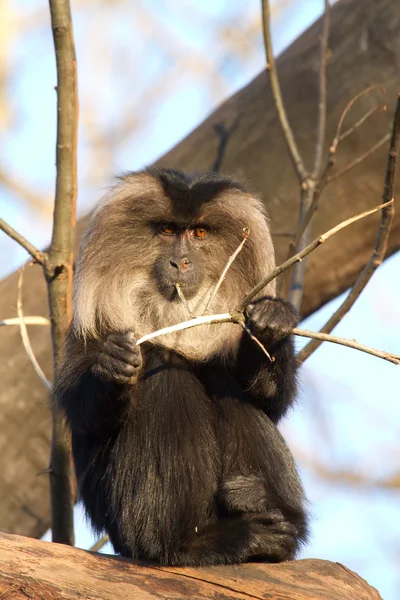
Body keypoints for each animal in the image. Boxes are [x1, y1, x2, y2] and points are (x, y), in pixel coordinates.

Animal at [54, 168, 310, 568]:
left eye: (200, 233)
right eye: (167, 230)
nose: (181, 263)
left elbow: (269, 402)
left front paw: (270, 324)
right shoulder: (89, 328)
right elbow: (83, 411)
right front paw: (112, 366)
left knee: (222, 383)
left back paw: (266, 514)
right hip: (125, 530)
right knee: (166, 368)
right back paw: (189, 544)